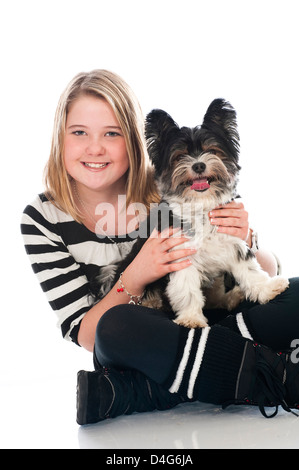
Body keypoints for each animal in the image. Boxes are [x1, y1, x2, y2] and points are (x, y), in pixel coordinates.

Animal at [94, 98, 290, 326]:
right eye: (180, 156)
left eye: (212, 151)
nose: (198, 165)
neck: (200, 206)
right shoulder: (179, 255)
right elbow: (187, 290)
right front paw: (191, 318)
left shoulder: (233, 241)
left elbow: (250, 271)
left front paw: (267, 289)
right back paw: (153, 303)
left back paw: (233, 297)